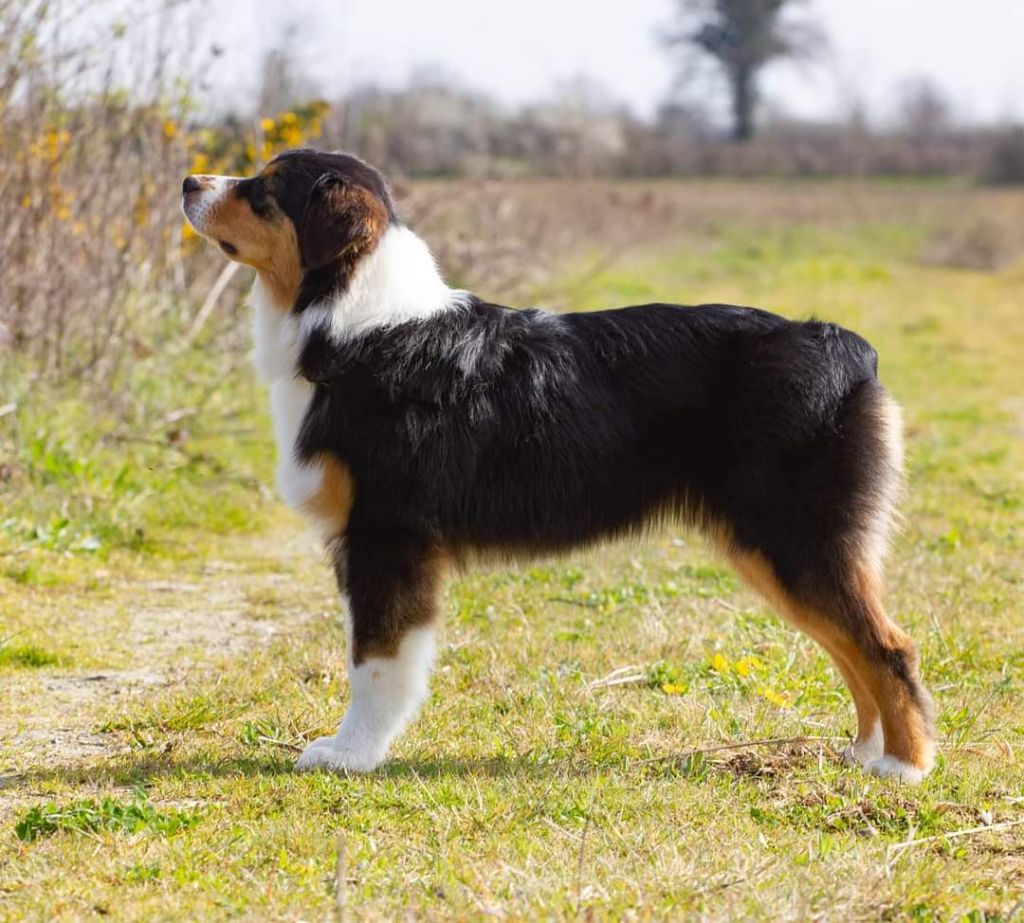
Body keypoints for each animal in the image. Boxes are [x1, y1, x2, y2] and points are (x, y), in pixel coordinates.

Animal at [184, 147, 937, 782]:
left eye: (264, 190)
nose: (189, 181)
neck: (357, 325)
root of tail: (848, 349)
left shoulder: (386, 537)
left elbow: (376, 662)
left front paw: (351, 753)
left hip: (795, 537)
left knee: (886, 645)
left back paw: (904, 767)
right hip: (783, 548)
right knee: (851, 647)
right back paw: (864, 753)